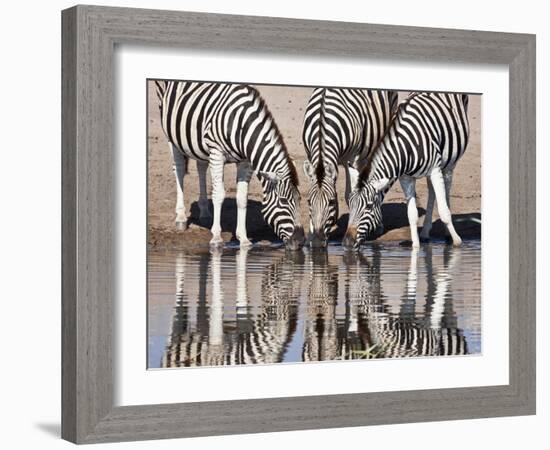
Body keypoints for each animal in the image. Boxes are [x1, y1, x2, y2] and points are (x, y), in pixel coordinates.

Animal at [156, 81, 306, 250]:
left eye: (300, 199)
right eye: (284, 201)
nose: (300, 241)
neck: (241, 127)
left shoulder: (245, 161)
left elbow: (242, 198)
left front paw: (244, 239)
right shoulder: (216, 152)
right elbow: (219, 194)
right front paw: (216, 238)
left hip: (199, 142)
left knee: (201, 165)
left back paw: (204, 212)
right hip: (171, 130)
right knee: (179, 168)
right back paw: (181, 217)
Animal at [304, 87, 398, 250]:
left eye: (331, 203)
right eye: (309, 202)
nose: (316, 243)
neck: (323, 123)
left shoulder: (353, 159)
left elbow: (351, 195)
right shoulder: (311, 156)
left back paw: (379, 224)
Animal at [344, 92, 470, 251]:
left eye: (369, 206)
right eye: (350, 204)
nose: (347, 243)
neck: (406, 147)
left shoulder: (435, 169)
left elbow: (443, 211)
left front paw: (457, 242)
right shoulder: (406, 178)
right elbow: (412, 214)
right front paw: (415, 247)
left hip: (450, 162)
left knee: (446, 187)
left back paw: (448, 233)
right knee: (431, 190)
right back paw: (425, 232)